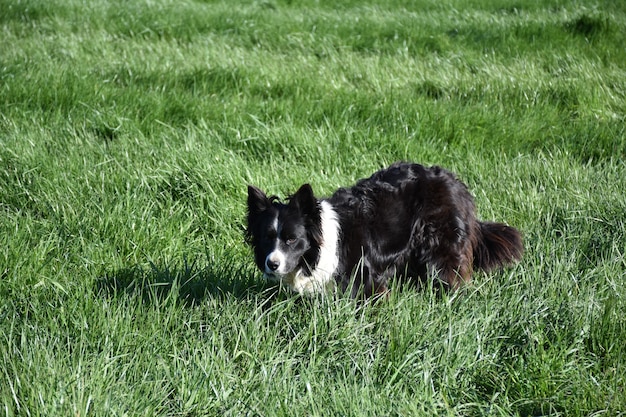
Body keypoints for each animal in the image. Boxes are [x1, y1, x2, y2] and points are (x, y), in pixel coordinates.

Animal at [245, 161, 520, 298]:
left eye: (291, 239)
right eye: (267, 238)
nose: (272, 264)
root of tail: (455, 182)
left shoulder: (365, 277)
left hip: (441, 244)